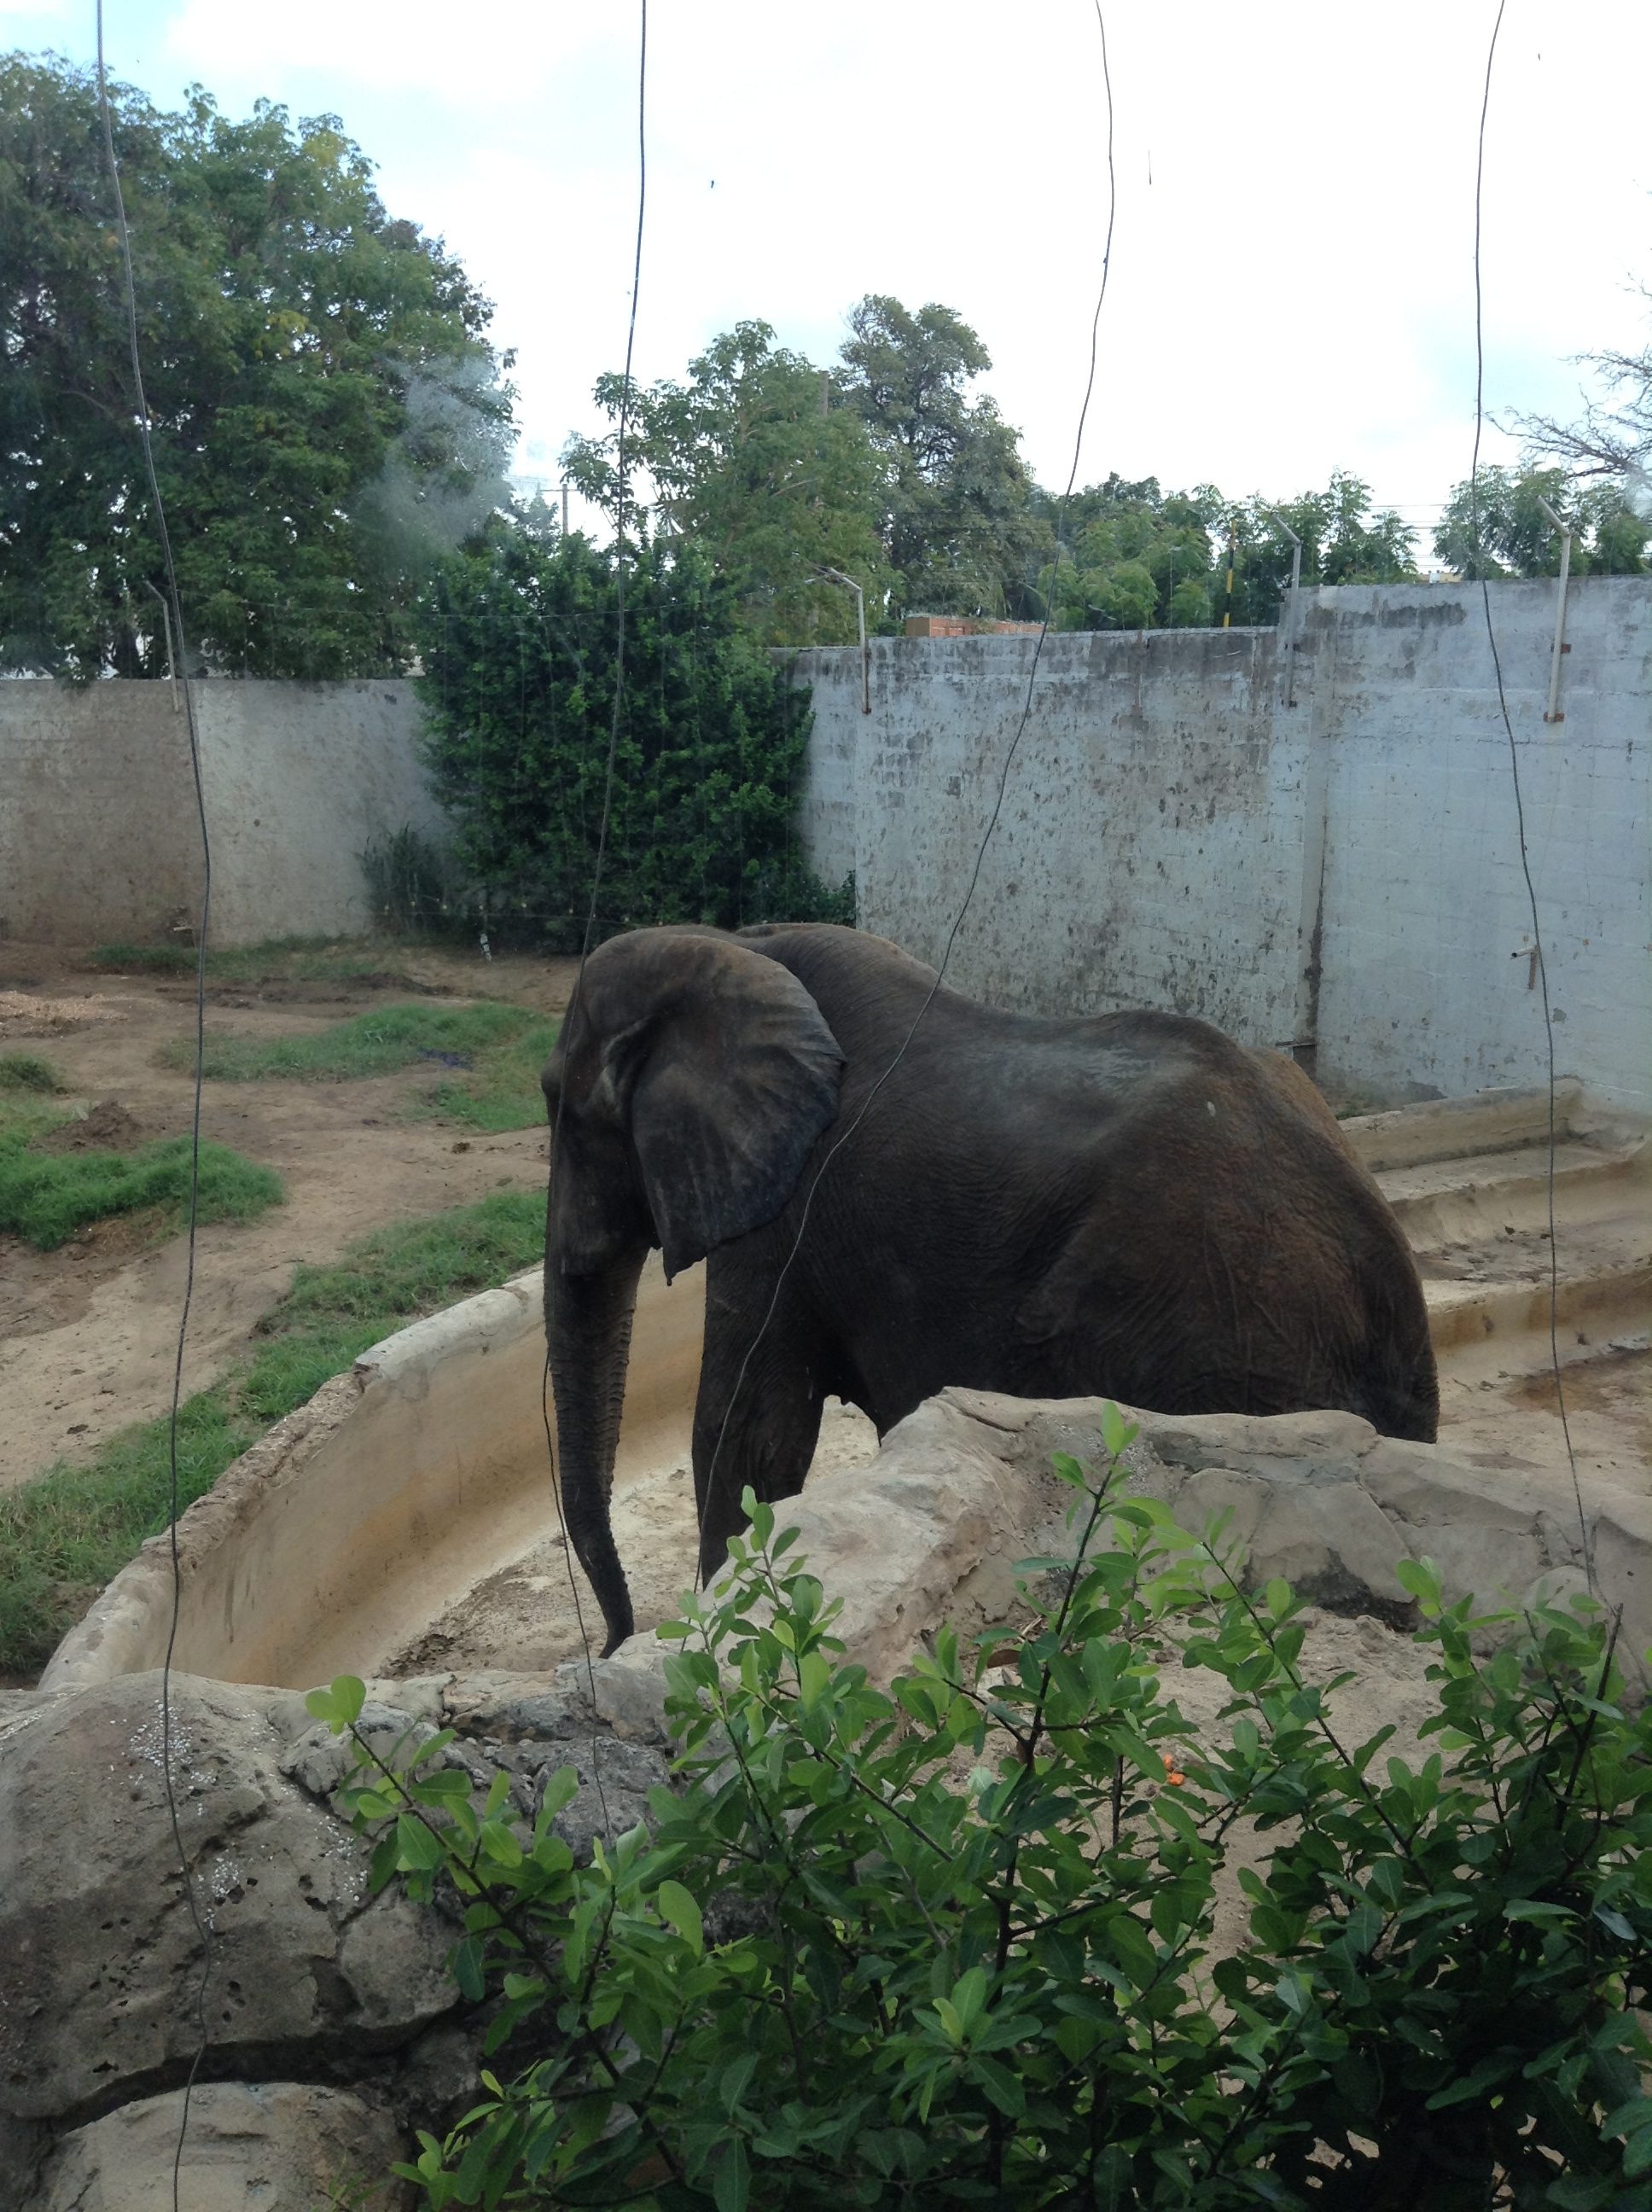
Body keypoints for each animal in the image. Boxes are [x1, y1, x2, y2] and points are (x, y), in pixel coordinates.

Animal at [542, 922, 1438, 1654]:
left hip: (1212, 1331)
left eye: (559, 1105)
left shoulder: (789, 1211)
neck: (735, 947)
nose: (611, 1643)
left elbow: (749, 1436)